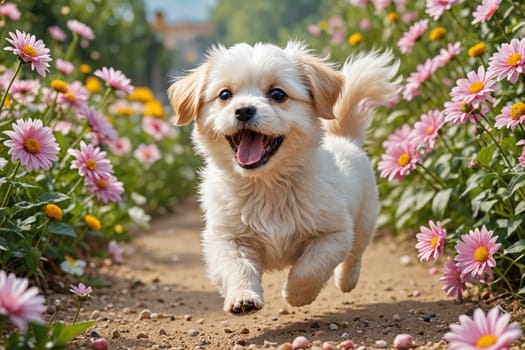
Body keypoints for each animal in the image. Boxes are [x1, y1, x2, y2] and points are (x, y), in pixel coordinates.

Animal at [168, 41, 398, 314]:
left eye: (278, 94)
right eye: (224, 95)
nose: (243, 110)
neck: (266, 186)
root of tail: (345, 138)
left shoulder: (334, 233)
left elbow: (309, 269)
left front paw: (296, 295)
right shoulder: (226, 238)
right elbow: (237, 268)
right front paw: (243, 297)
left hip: (365, 221)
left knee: (355, 254)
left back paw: (346, 280)